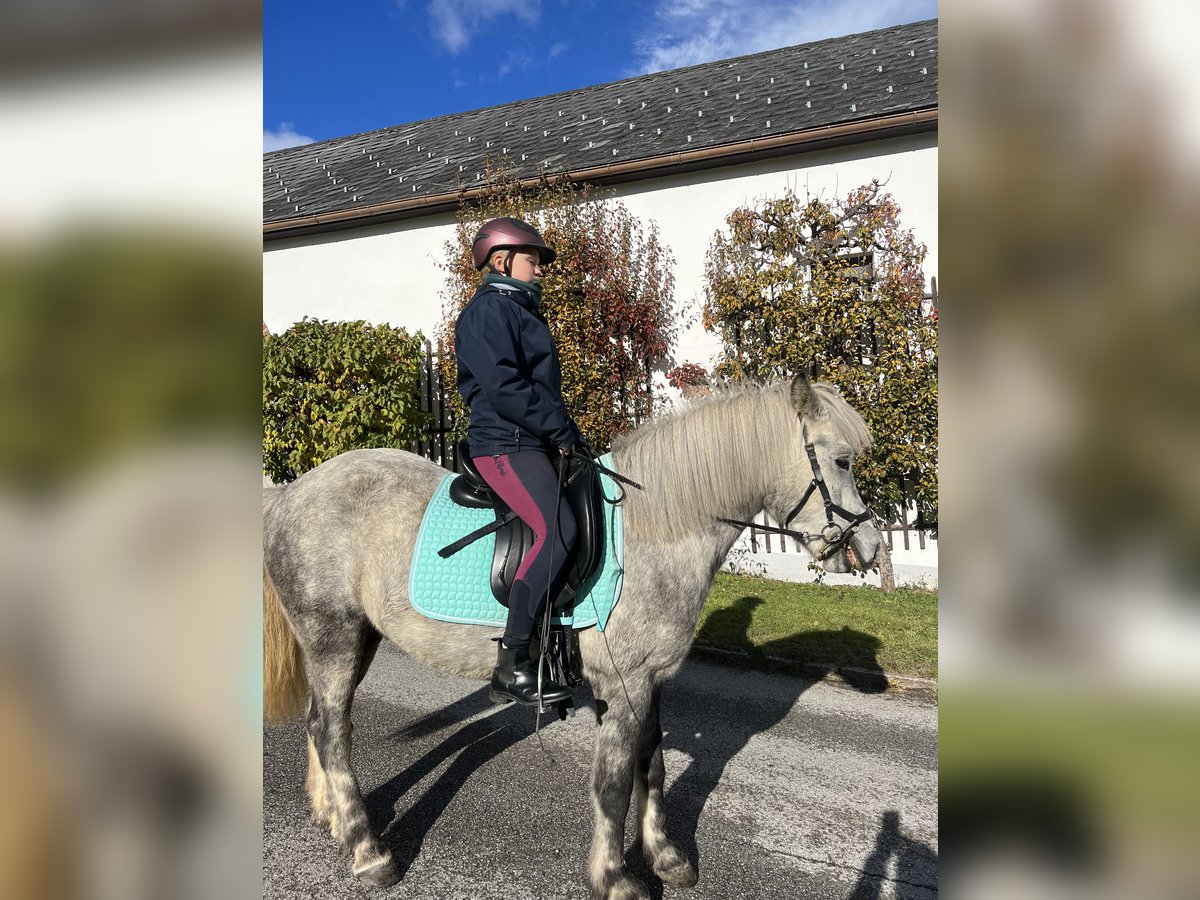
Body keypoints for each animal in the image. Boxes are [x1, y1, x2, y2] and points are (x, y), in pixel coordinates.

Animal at [265, 374, 883, 900]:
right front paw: (614, 878)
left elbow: (652, 766)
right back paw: (368, 852)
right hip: (333, 636)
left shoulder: (650, 681)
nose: (870, 548)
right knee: (333, 730)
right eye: (842, 460)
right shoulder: (623, 684)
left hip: (356, 639)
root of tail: (291, 493)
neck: (656, 526)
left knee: (322, 723)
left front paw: (667, 858)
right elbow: (612, 783)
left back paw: (331, 816)